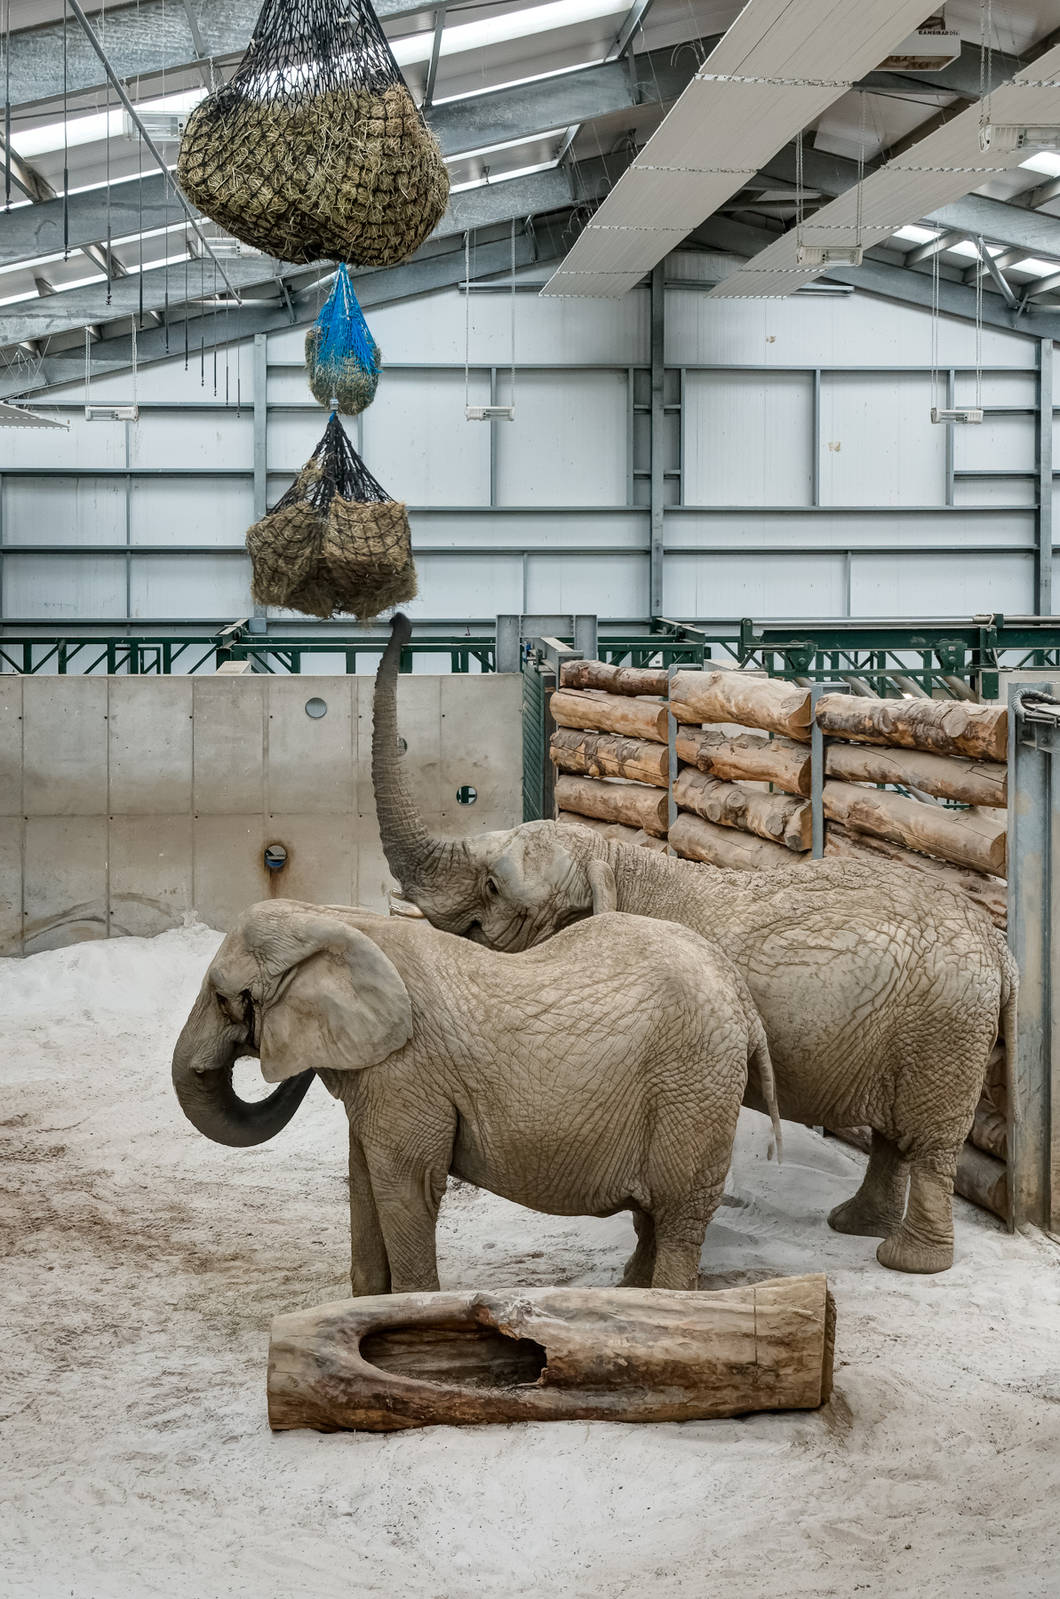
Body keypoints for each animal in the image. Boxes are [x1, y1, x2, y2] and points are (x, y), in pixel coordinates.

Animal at [172, 898, 780, 1295]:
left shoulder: (407, 1071)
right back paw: (627, 1296)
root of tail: (744, 1001)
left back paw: (663, 1303)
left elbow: (406, 1185)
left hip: (695, 1083)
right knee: (655, 1212)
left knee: (678, 1211)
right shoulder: (382, 1079)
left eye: (225, 999)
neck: (338, 923)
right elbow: (364, 1180)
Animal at [372, 613, 1019, 1276]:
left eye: (494, 886)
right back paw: (854, 1226)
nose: (401, 621)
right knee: (894, 1134)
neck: (611, 859)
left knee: (929, 1140)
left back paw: (906, 1261)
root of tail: (998, 951)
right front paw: (637, 1275)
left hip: (944, 1025)